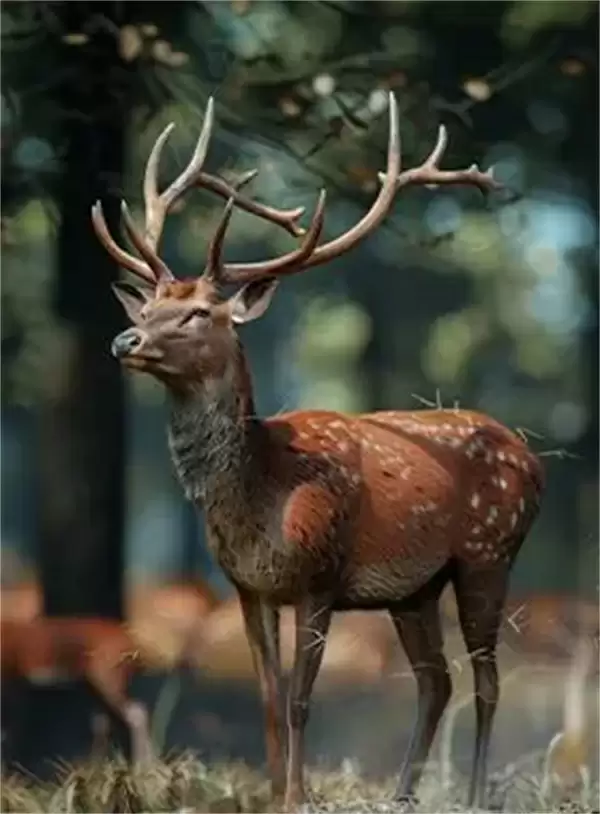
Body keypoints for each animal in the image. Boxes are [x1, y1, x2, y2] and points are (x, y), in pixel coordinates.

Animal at [91, 91, 545, 811]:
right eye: (153, 304)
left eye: (199, 314)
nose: (124, 340)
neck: (262, 495)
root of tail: (534, 461)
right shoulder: (247, 588)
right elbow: (269, 699)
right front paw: (275, 793)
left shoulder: (321, 575)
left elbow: (303, 701)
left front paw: (297, 797)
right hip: (414, 588)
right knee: (435, 679)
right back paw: (402, 794)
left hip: (488, 554)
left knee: (488, 679)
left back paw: (473, 794)